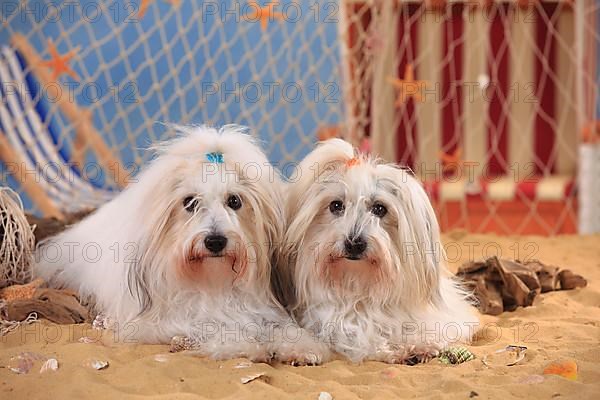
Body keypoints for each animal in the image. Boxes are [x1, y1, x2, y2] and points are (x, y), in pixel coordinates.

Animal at [33, 126, 324, 366]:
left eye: (234, 201)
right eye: (189, 202)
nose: (215, 241)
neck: (213, 283)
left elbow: (283, 328)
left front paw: (301, 347)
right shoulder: (166, 321)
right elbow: (213, 326)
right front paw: (246, 344)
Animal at [278, 139, 478, 364]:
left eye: (379, 209)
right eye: (336, 205)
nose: (354, 243)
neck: (359, 288)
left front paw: (420, 344)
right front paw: (397, 349)